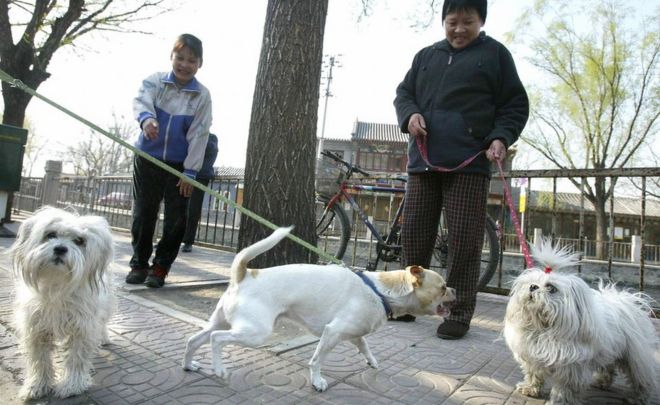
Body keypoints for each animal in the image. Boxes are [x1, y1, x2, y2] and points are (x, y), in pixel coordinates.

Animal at [10, 205, 116, 398]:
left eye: (79, 241)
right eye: (50, 234)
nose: (60, 249)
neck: (58, 285)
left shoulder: (82, 326)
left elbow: (76, 358)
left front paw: (72, 385)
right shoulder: (37, 327)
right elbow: (40, 359)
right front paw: (37, 385)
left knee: (103, 322)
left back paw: (103, 337)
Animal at [183, 226, 456, 390]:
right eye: (443, 287)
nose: (455, 290)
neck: (381, 291)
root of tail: (245, 275)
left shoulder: (354, 333)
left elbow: (365, 346)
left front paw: (372, 361)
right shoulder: (332, 333)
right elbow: (317, 360)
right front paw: (317, 381)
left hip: (222, 322)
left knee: (195, 340)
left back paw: (189, 365)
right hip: (254, 332)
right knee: (217, 339)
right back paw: (219, 368)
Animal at [506, 238, 656, 402]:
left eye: (551, 288)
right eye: (531, 282)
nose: (533, 287)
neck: (544, 327)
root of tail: (625, 301)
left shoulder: (571, 365)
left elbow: (565, 386)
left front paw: (561, 399)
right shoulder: (533, 357)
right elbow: (534, 374)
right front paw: (530, 388)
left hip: (635, 357)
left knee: (641, 378)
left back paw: (639, 397)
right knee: (608, 366)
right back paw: (602, 381)